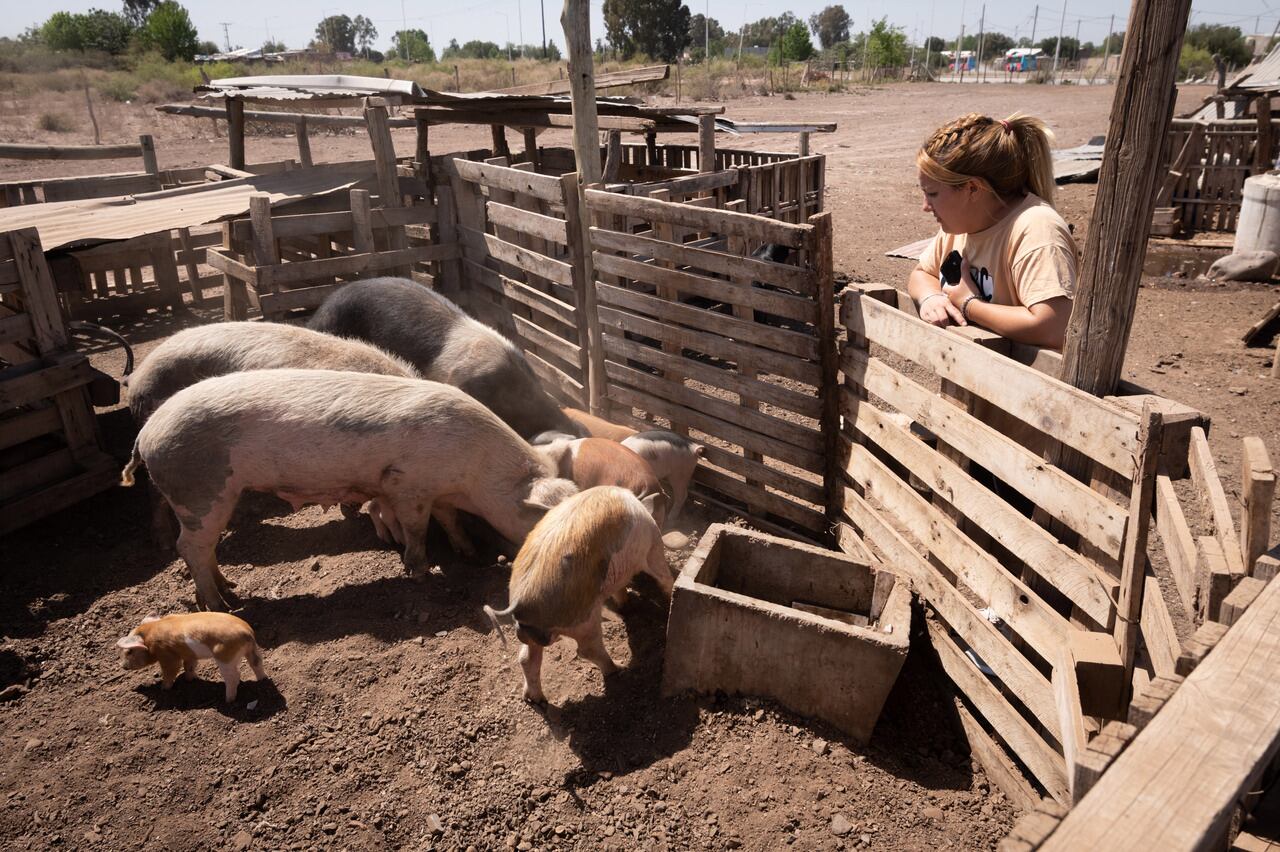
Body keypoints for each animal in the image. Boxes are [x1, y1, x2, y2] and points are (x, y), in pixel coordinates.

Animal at [120, 368, 581, 606]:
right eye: (541, 521)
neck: (477, 471)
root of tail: (145, 435)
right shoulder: (407, 484)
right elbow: (417, 529)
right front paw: (421, 571)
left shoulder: (439, 490)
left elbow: (450, 520)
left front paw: (470, 555)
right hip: (199, 491)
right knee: (189, 546)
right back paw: (225, 606)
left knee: (204, 548)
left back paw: (228, 589)